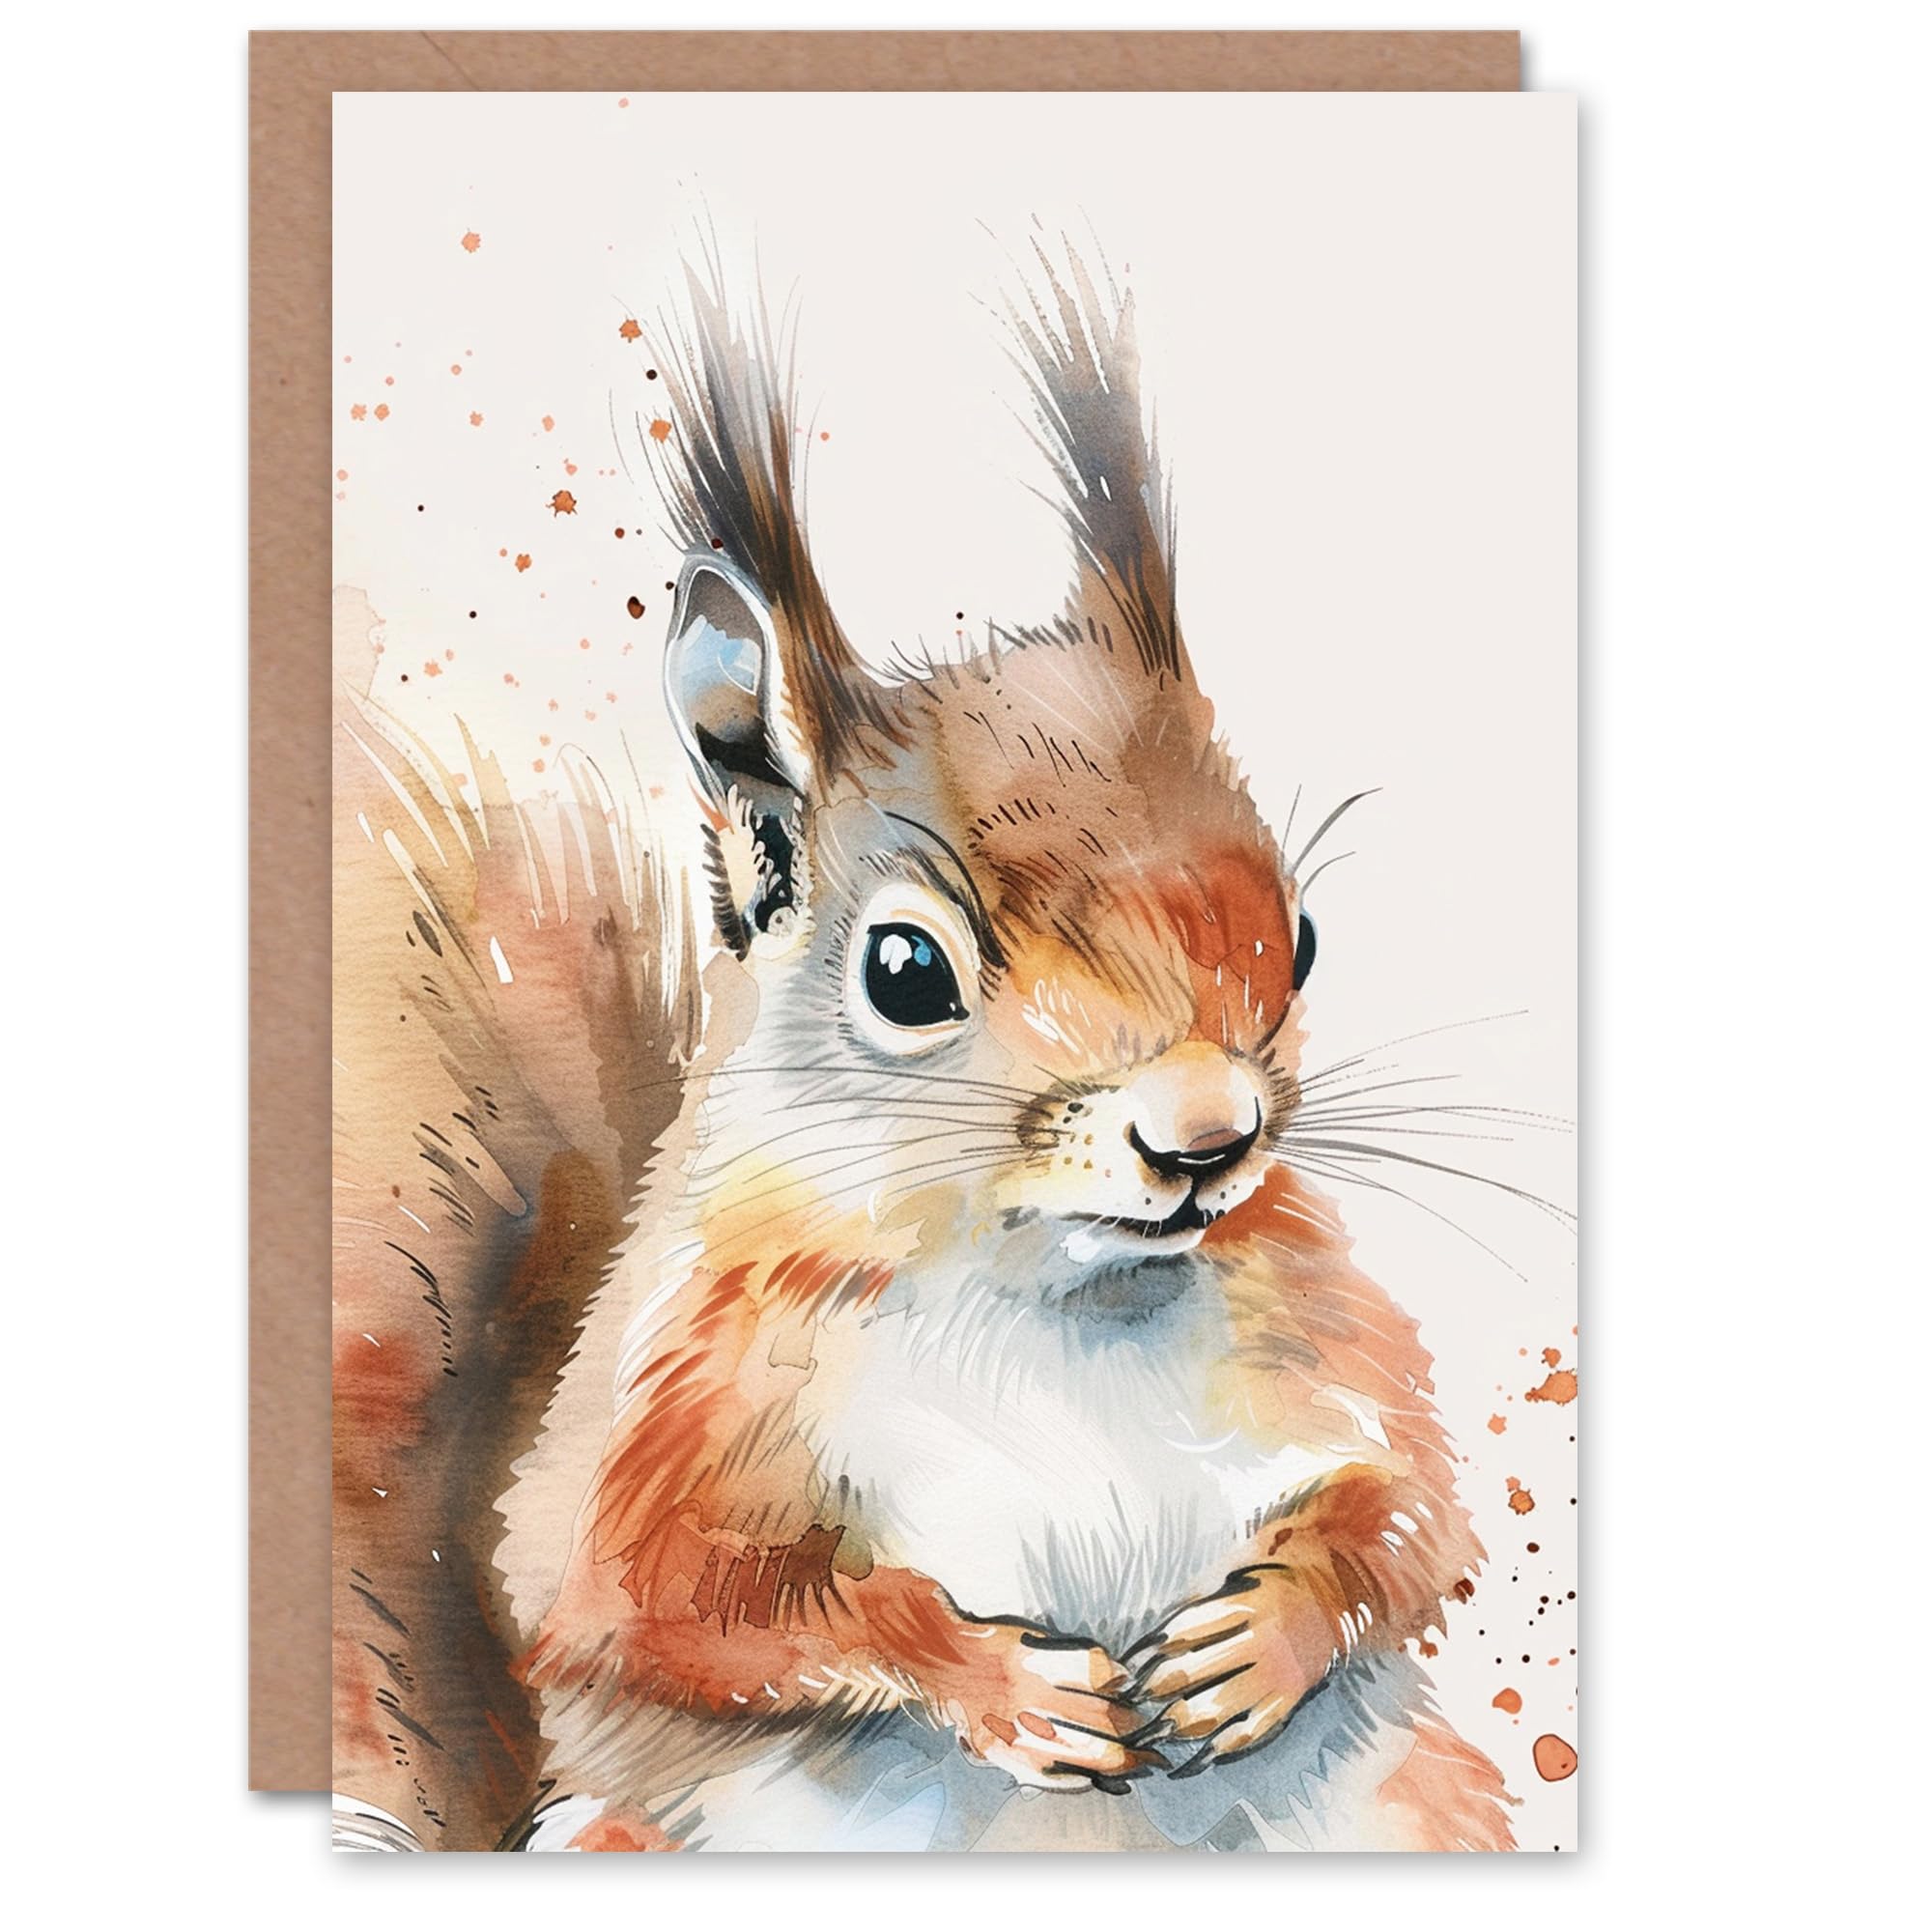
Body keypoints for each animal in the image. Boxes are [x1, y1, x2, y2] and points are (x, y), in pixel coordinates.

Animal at [477, 251, 1519, 1855]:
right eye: (904, 972)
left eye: (1303, 932)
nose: (1208, 1140)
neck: (1053, 1299)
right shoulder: (664, 1421)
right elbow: (670, 1607)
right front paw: (996, 1678)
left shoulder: (1329, 1330)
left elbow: (1413, 1519)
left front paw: (1258, 1639)